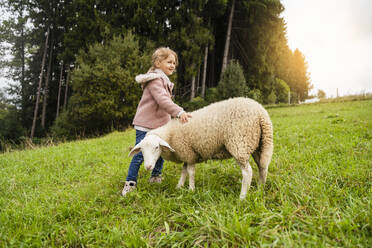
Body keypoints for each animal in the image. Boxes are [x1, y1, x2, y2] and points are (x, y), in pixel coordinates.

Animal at [129, 97, 274, 200]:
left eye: (156, 147)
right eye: (142, 151)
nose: (148, 167)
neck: (170, 134)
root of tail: (262, 114)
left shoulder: (188, 152)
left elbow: (190, 172)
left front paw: (191, 190)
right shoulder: (186, 154)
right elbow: (184, 171)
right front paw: (179, 187)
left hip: (239, 143)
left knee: (247, 172)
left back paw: (242, 197)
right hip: (258, 144)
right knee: (262, 167)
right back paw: (260, 189)